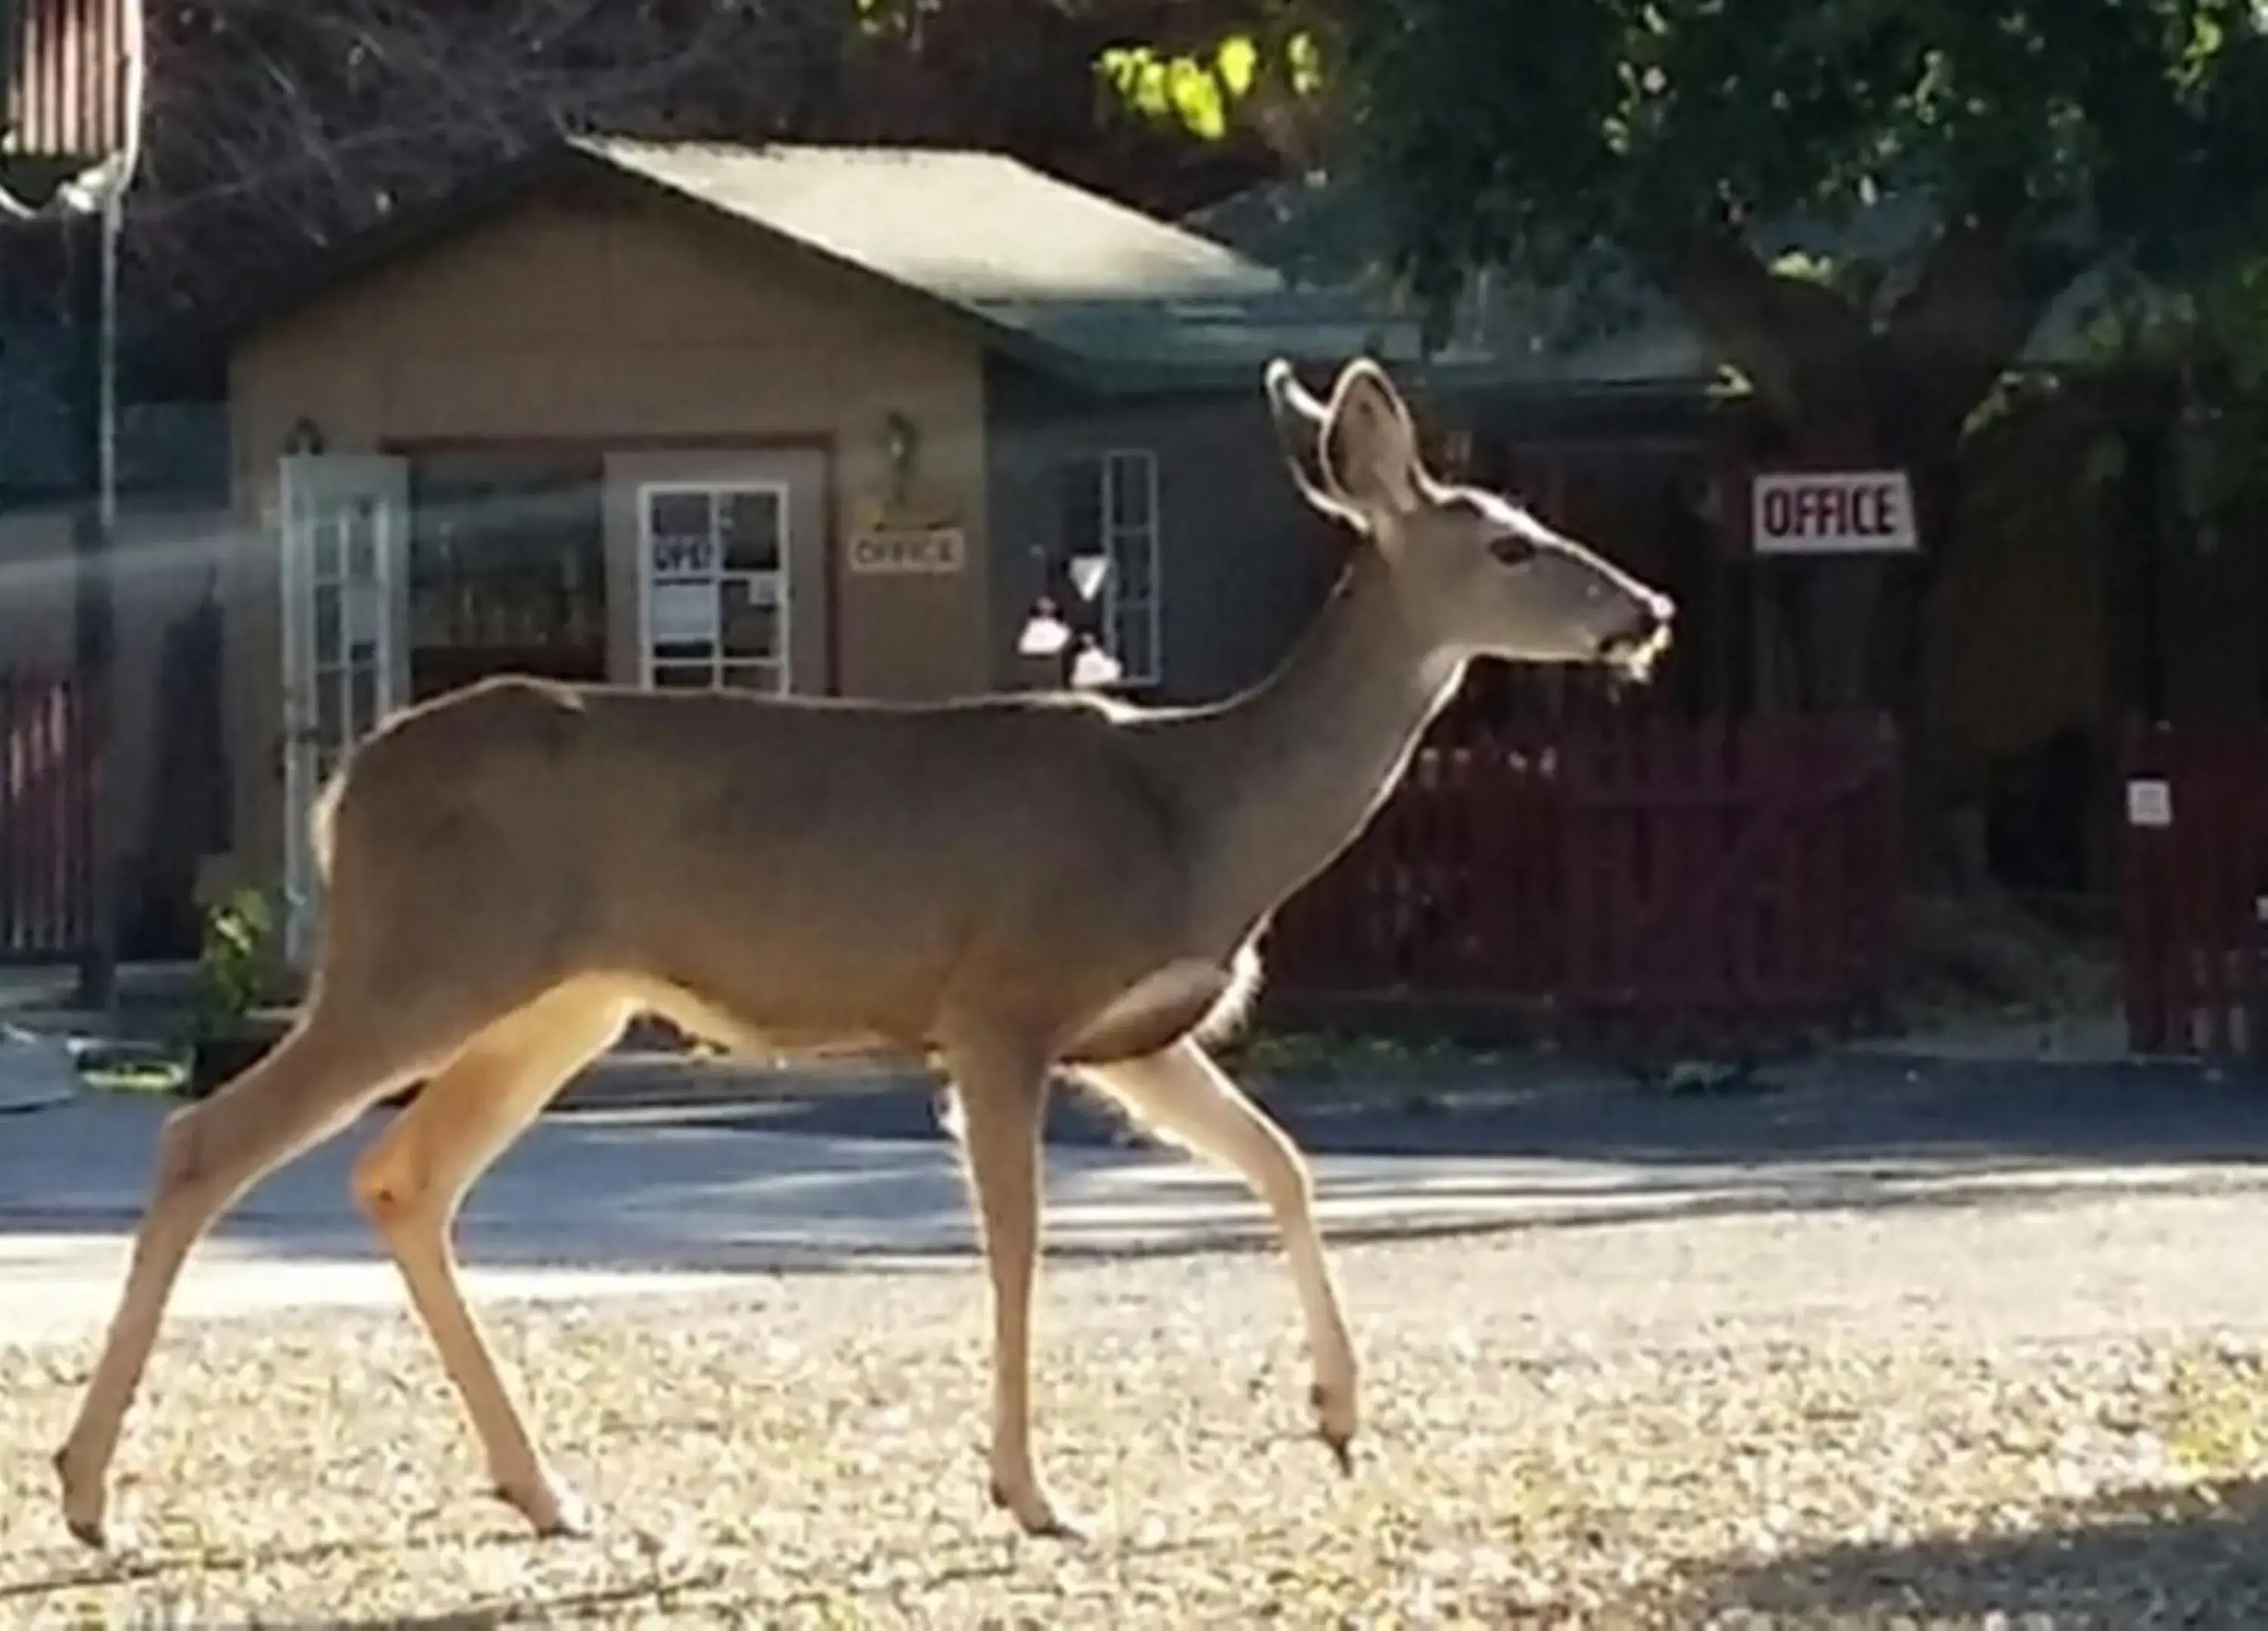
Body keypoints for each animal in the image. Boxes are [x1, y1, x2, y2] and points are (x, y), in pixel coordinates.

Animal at [48, 351, 1669, 1551]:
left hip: (559, 999)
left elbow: (1281, 1161)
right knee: (210, 1136)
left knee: (404, 1176)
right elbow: (1020, 1238)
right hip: (423, 957)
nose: (1648, 608)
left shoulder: (1137, 1032)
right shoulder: (1003, 995)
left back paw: (546, 1490)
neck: (1201, 809)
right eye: (1513, 542)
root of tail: (343, 787)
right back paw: (87, 1491)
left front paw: (1336, 1413)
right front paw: (1034, 1490)